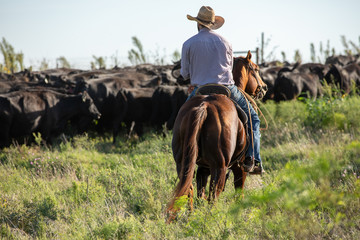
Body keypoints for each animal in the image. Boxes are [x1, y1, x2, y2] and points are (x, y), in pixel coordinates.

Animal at [167, 50, 266, 221]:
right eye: (256, 69)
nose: (264, 87)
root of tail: (204, 105)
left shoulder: (203, 168)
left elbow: (200, 193)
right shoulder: (239, 168)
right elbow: (238, 193)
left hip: (183, 163)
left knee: (189, 189)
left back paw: (190, 218)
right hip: (220, 167)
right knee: (214, 196)